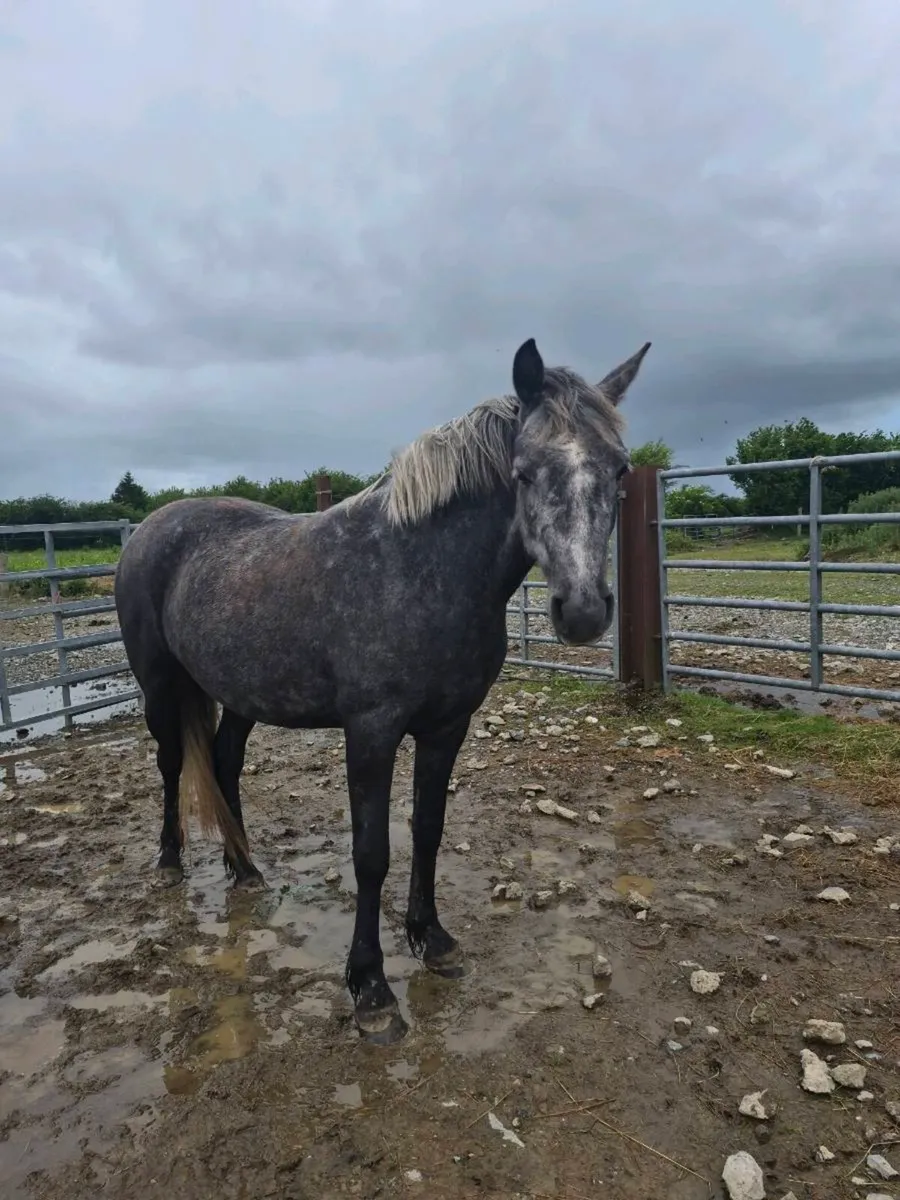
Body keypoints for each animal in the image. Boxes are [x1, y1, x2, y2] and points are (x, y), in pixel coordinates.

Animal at [114, 336, 650, 1044]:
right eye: (524, 472)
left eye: (619, 470)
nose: (583, 611)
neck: (420, 570)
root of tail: (149, 527)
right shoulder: (371, 732)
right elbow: (371, 853)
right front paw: (370, 988)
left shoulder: (447, 727)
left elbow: (428, 829)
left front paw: (432, 940)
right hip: (158, 684)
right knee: (173, 761)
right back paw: (172, 861)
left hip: (242, 694)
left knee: (224, 761)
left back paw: (245, 869)